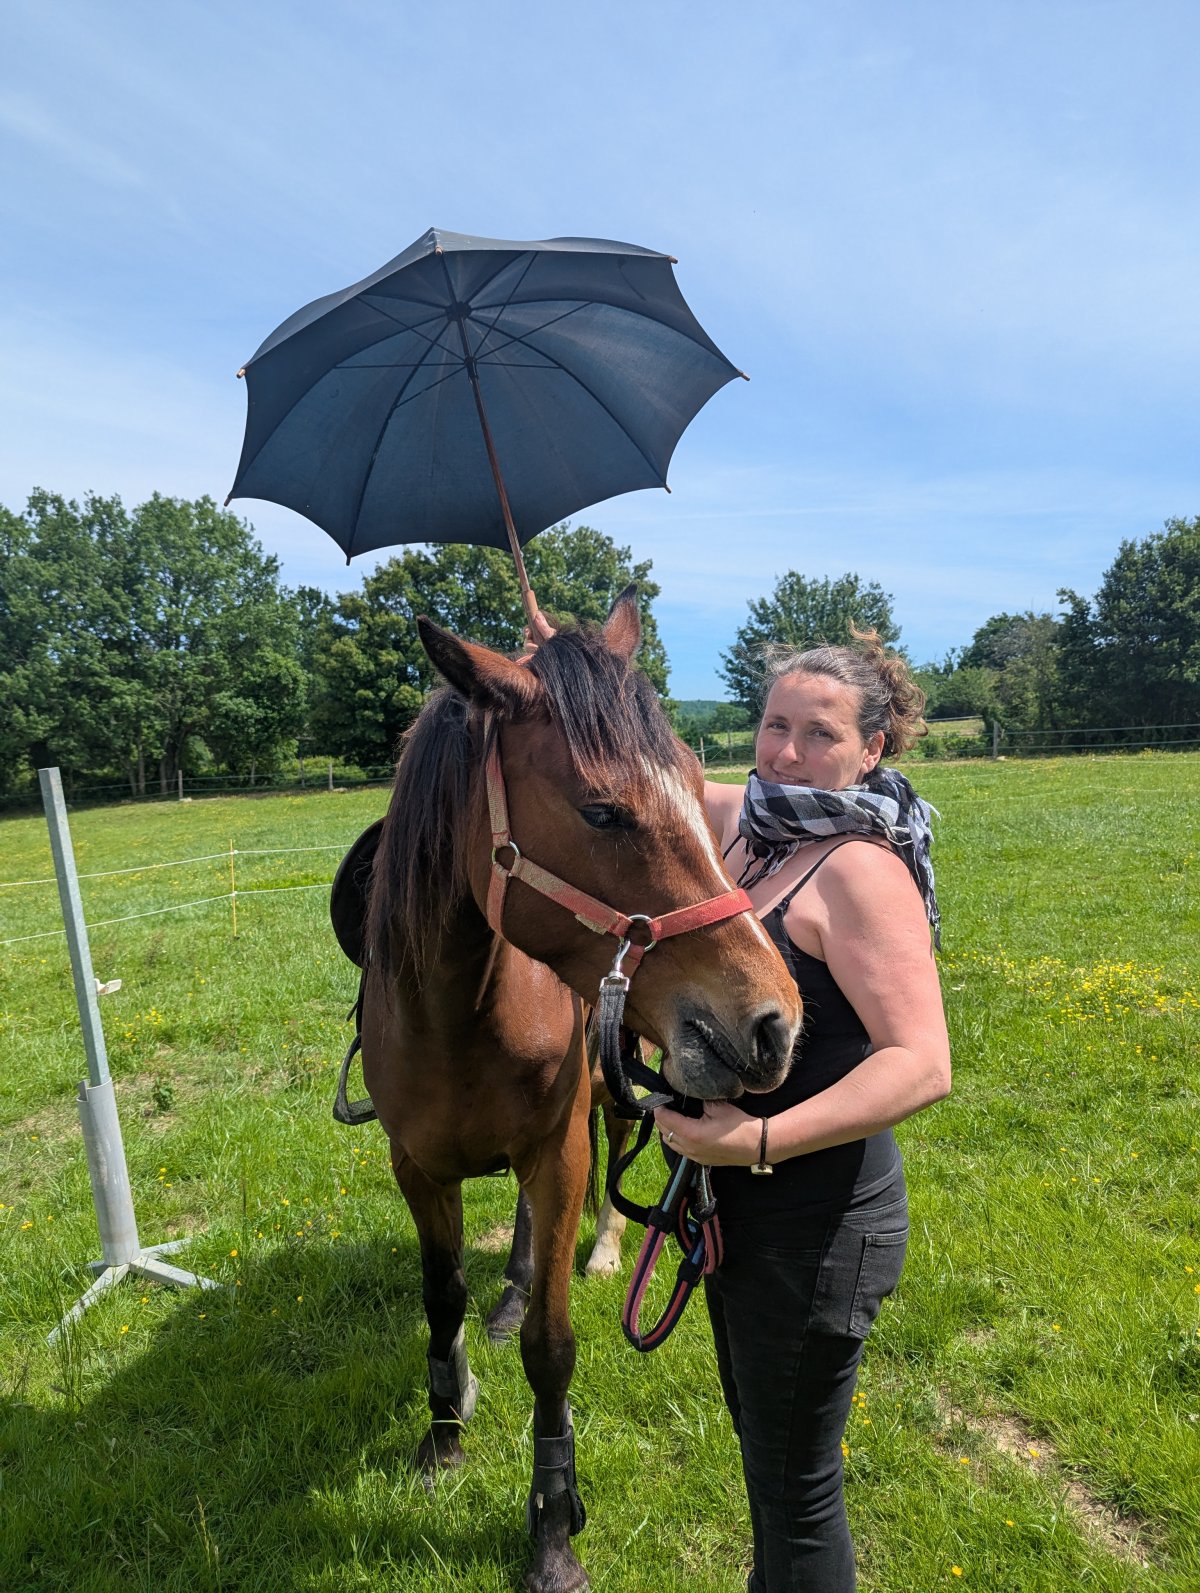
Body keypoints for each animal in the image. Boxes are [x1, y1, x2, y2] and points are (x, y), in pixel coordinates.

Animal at [359, 590, 802, 1593]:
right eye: (602, 810)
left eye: (696, 778)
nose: (772, 1020)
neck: (456, 1010)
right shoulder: (415, 1167)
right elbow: (441, 1299)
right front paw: (443, 1435)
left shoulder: (555, 1150)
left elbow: (550, 1347)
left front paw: (553, 1528)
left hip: (607, 1091)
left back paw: (599, 1251)